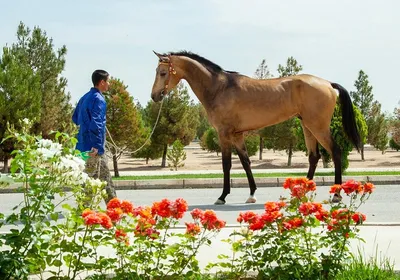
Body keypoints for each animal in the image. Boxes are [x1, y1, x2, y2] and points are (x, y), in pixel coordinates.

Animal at [149, 50, 360, 205]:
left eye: (163, 72)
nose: (154, 96)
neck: (219, 88)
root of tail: (328, 84)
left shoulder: (224, 134)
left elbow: (226, 165)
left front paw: (222, 197)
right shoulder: (237, 135)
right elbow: (245, 162)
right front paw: (251, 194)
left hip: (318, 127)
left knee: (336, 152)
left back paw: (337, 195)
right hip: (307, 126)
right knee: (314, 157)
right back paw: (302, 192)